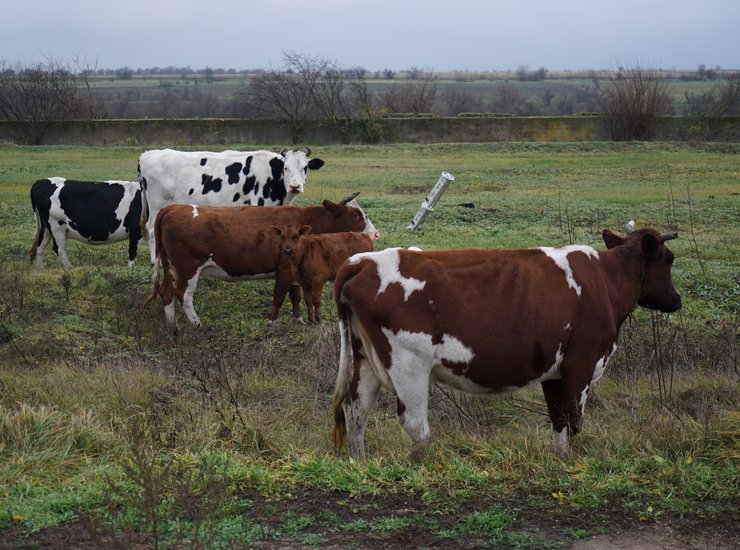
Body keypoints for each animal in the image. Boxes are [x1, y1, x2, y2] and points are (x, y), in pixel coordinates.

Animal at [139, 148, 324, 266]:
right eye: (286, 168)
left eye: (305, 168)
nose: (295, 186)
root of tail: (147, 154)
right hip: (157, 205)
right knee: (151, 229)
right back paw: (156, 261)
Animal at [152, 195, 378, 330]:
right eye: (356, 214)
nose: (375, 234)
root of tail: (172, 208)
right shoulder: (285, 268)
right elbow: (279, 297)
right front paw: (272, 323)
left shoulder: (297, 271)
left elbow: (296, 296)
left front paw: (299, 319)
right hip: (189, 268)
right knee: (184, 295)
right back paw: (197, 325)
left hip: (171, 267)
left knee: (166, 292)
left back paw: (172, 326)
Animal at [332, 224, 680, 462]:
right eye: (669, 259)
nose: (676, 300)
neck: (604, 280)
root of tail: (362, 261)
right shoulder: (581, 364)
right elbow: (574, 419)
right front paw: (580, 459)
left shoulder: (554, 372)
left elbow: (558, 420)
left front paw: (563, 459)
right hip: (409, 366)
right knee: (414, 422)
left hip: (364, 360)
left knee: (355, 410)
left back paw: (359, 462)